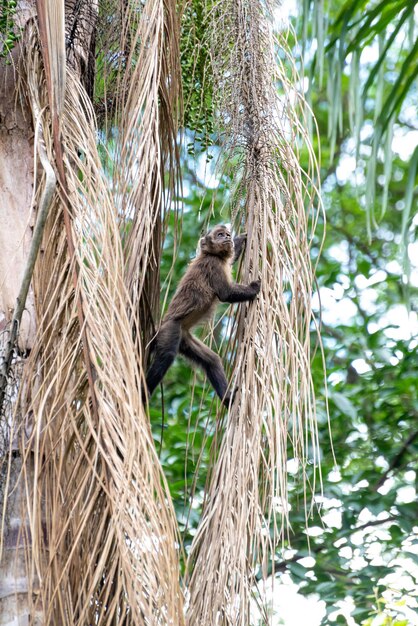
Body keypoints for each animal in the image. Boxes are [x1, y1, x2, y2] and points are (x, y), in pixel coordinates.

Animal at [145, 223, 260, 404]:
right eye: (220, 235)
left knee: (211, 360)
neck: (212, 255)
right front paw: (254, 288)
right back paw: (145, 391)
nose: (227, 237)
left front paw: (240, 240)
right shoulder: (213, 264)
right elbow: (226, 294)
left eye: (227, 234)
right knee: (167, 355)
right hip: (170, 329)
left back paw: (227, 397)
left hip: (184, 339)